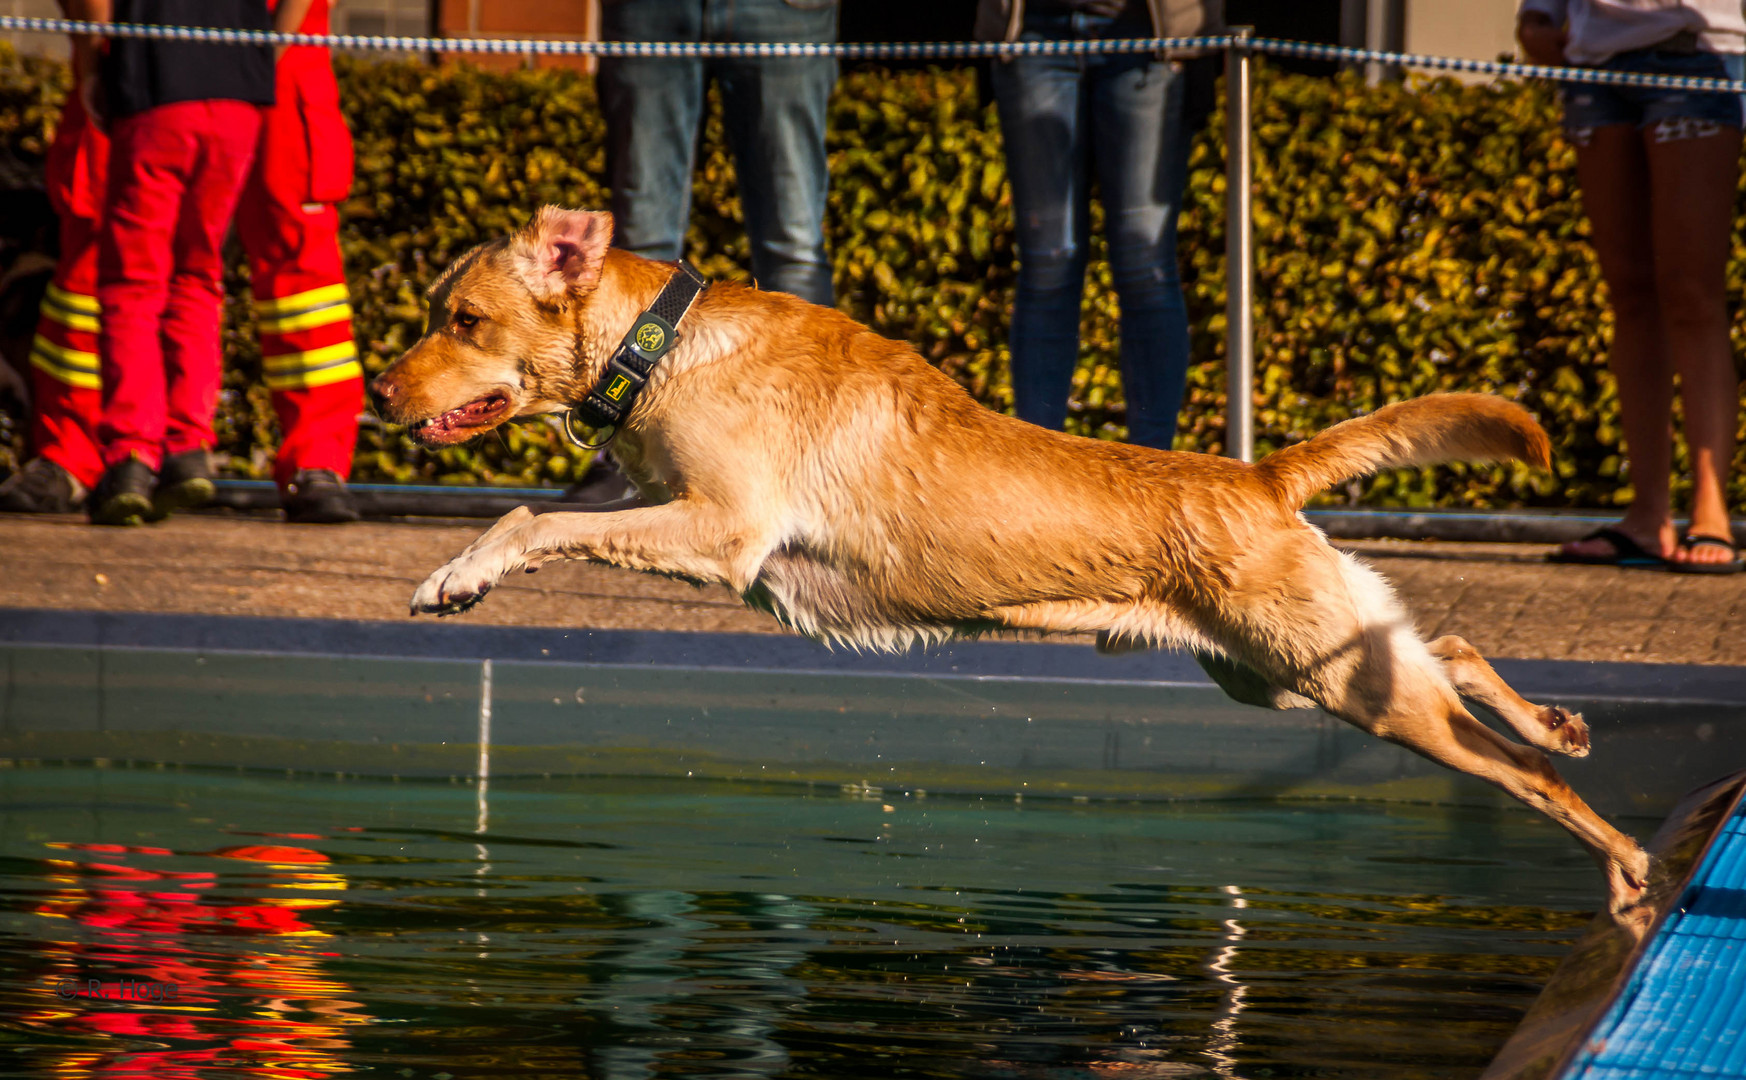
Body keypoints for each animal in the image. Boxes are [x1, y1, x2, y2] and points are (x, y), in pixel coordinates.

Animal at [378, 209, 1648, 921]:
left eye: (464, 320)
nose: (380, 393)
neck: (663, 343)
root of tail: (1260, 475)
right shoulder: (657, 504)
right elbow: (545, 511)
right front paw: (460, 569)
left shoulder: (720, 531)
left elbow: (532, 517)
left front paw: (456, 577)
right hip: (1288, 671)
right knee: (1450, 645)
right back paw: (1559, 720)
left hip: (1331, 679)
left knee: (1525, 774)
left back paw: (1624, 864)